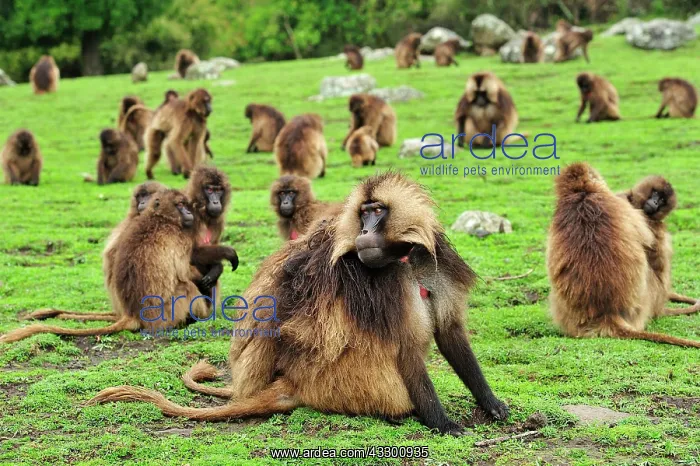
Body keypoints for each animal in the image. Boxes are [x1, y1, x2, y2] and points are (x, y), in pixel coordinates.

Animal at [0, 190, 239, 344]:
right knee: (185, 286)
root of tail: (133, 314)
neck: (160, 217)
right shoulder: (179, 237)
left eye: (186, 206)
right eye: (180, 205)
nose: (189, 214)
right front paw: (215, 269)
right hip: (168, 311)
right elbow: (183, 270)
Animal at [88, 172, 510, 435]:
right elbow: (406, 350)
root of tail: (295, 382)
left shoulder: (433, 261)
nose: (365, 230)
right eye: (364, 213)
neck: (402, 259)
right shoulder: (385, 285)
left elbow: (450, 333)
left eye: (378, 211)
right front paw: (443, 423)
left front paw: (491, 403)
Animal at [618, 176, 700, 315]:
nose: (656, 202)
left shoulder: (653, 224)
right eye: (656, 193)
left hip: (653, 293)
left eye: (662, 200)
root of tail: (659, 305)